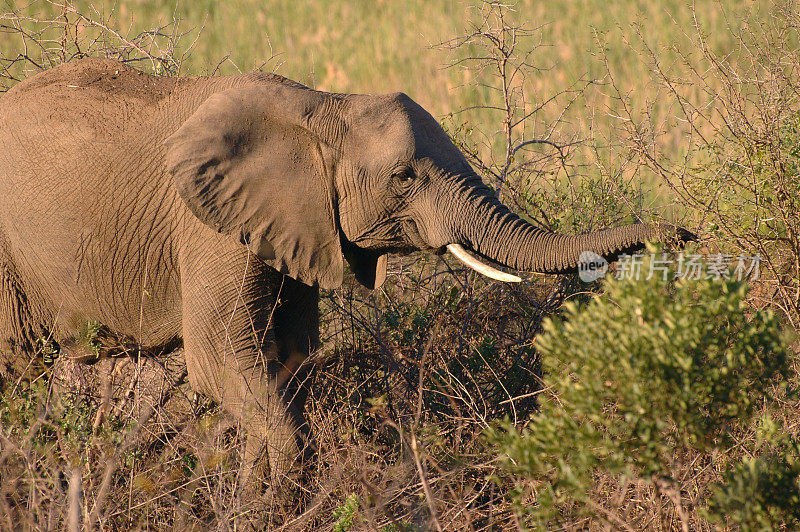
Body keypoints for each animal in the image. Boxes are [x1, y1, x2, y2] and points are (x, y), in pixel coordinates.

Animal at [0, 58, 692, 486]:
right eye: (404, 177)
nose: (681, 233)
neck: (321, 112)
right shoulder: (207, 226)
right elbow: (222, 358)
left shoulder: (294, 224)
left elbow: (289, 356)